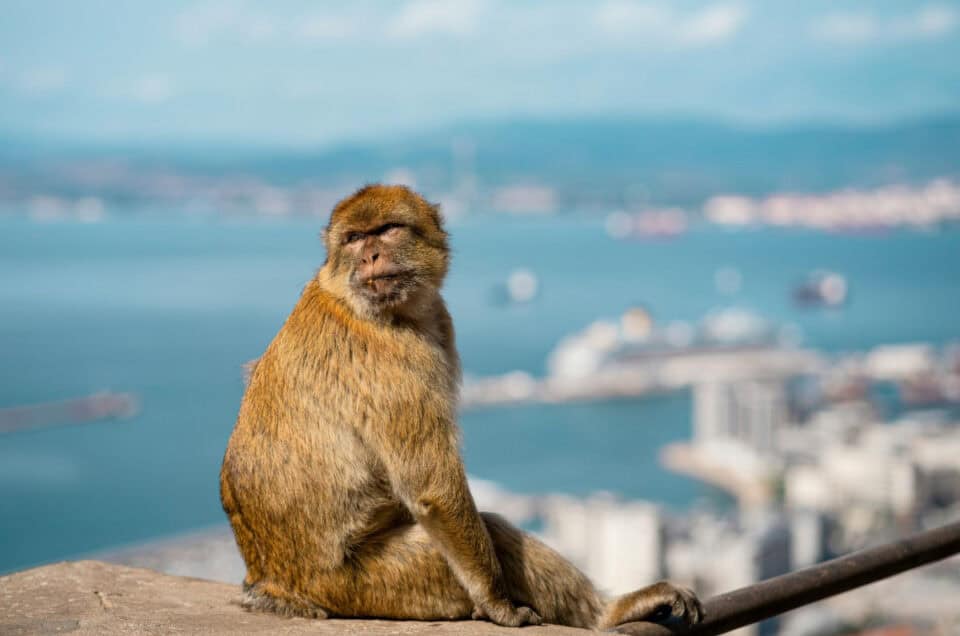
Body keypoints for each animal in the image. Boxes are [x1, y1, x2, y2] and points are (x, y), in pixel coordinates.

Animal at [220, 184, 703, 629]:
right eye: (354, 238)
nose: (370, 255)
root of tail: (276, 584)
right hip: (378, 582)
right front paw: (499, 604)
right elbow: (434, 488)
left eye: (387, 230)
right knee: (489, 533)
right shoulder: (398, 365)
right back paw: (607, 614)